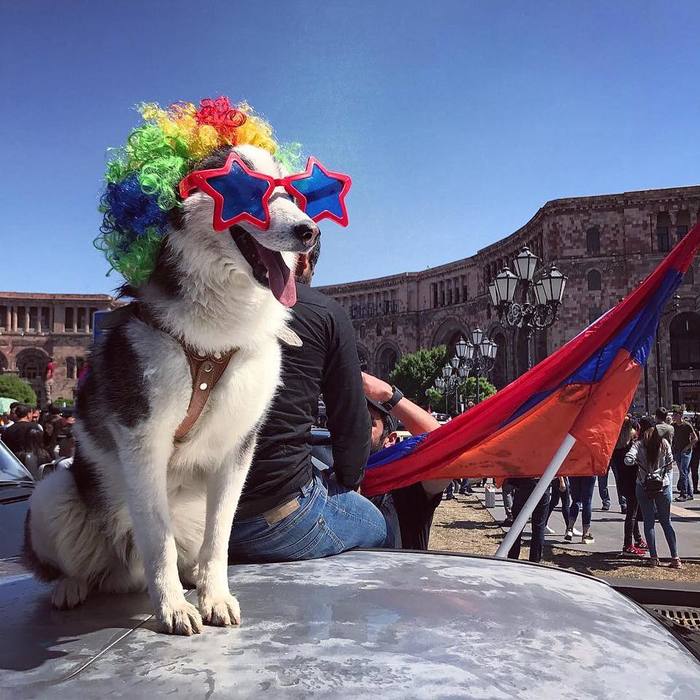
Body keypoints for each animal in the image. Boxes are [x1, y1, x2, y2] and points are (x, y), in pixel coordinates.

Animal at [23, 145, 320, 636]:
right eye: (244, 187)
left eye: (292, 192)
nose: (310, 231)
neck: (215, 329)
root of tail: (123, 574)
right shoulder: (142, 438)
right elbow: (156, 537)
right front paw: (173, 608)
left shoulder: (238, 447)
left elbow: (218, 538)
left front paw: (213, 596)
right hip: (54, 493)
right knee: (78, 565)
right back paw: (71, 586)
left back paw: (193, 575)